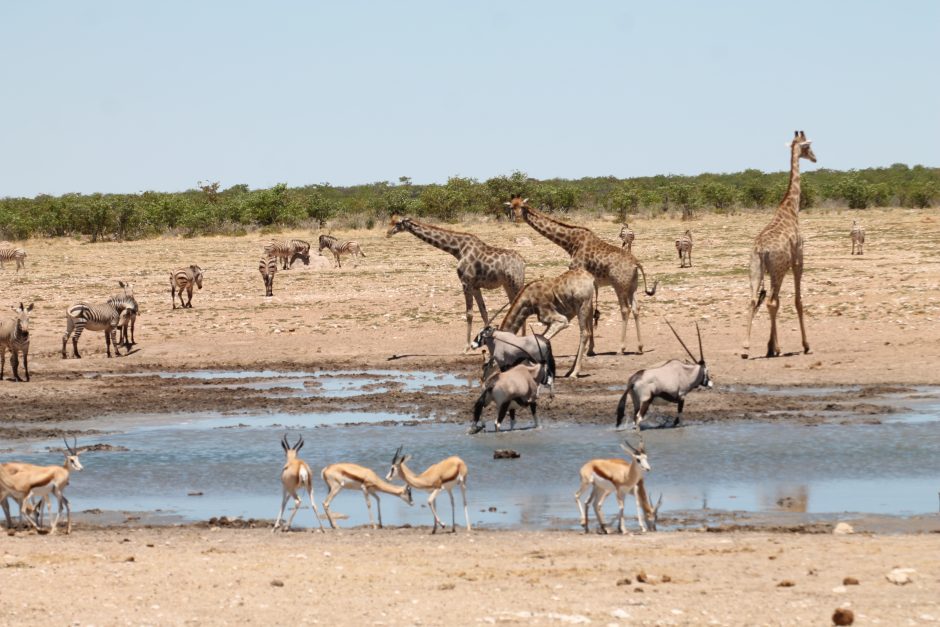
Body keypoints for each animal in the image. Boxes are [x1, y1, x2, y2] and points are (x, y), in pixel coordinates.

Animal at [386, 216, 524, 350]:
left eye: (397, 223)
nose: (388, 233)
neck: (458, 249)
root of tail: (523, 263)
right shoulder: (475, 286)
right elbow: (483, 312)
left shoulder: (466, 283)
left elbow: (469, 314)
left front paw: (466, 347)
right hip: (507, 285)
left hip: (516, 283)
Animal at [506, 194, 652, 356]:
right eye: (511, 207)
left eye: (522, 207)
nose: (517, 217)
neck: (570, 243)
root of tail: (636, 264)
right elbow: (591, 312)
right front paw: (591, 349)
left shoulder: (579, 273)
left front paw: (588, 349)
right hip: (632, 286)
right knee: (636, 308)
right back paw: (640, 347)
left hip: (619, 286)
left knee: (625, 309)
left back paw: (621, 348)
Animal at [740, 130, 816, 360]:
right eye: (807, 147)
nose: (815, 158)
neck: (791, 209)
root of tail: (760, 250)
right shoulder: (798, 261)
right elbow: (798, 301)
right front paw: (805, 345)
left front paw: (770, 346)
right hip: (778, 270)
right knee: (772, 301)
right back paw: (777, 348)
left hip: (755, 269)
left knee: (753, 300)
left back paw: (746, 348)